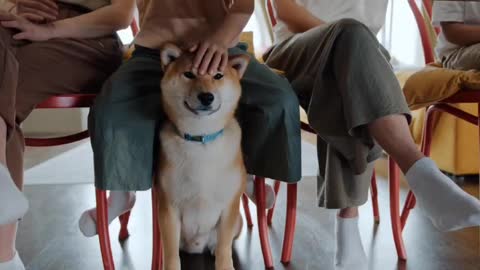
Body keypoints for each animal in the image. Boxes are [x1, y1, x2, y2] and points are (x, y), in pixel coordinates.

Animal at [157, 43, 249, 268]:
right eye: (189, 74)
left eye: (218, 75)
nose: (207, 97)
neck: (201, 140)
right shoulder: (169, 208)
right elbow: (171, 254)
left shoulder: (229, 206)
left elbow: (225, 248)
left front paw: (225, 264)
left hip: (238, 220)